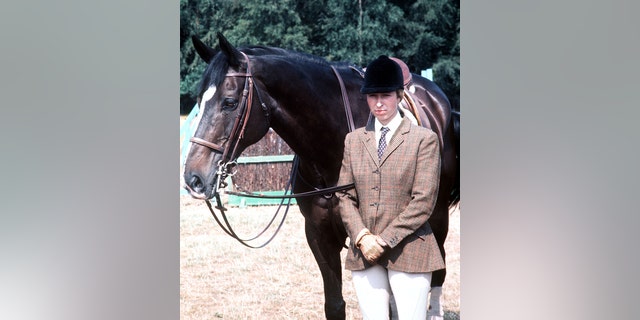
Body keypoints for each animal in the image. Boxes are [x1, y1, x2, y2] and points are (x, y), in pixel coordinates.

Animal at [182, 33, 458, 320]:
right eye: (199, 102)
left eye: (230, 103)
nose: (194, 178)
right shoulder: (319, 234)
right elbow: (335, 305)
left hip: (437, 218)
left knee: (437, 270)